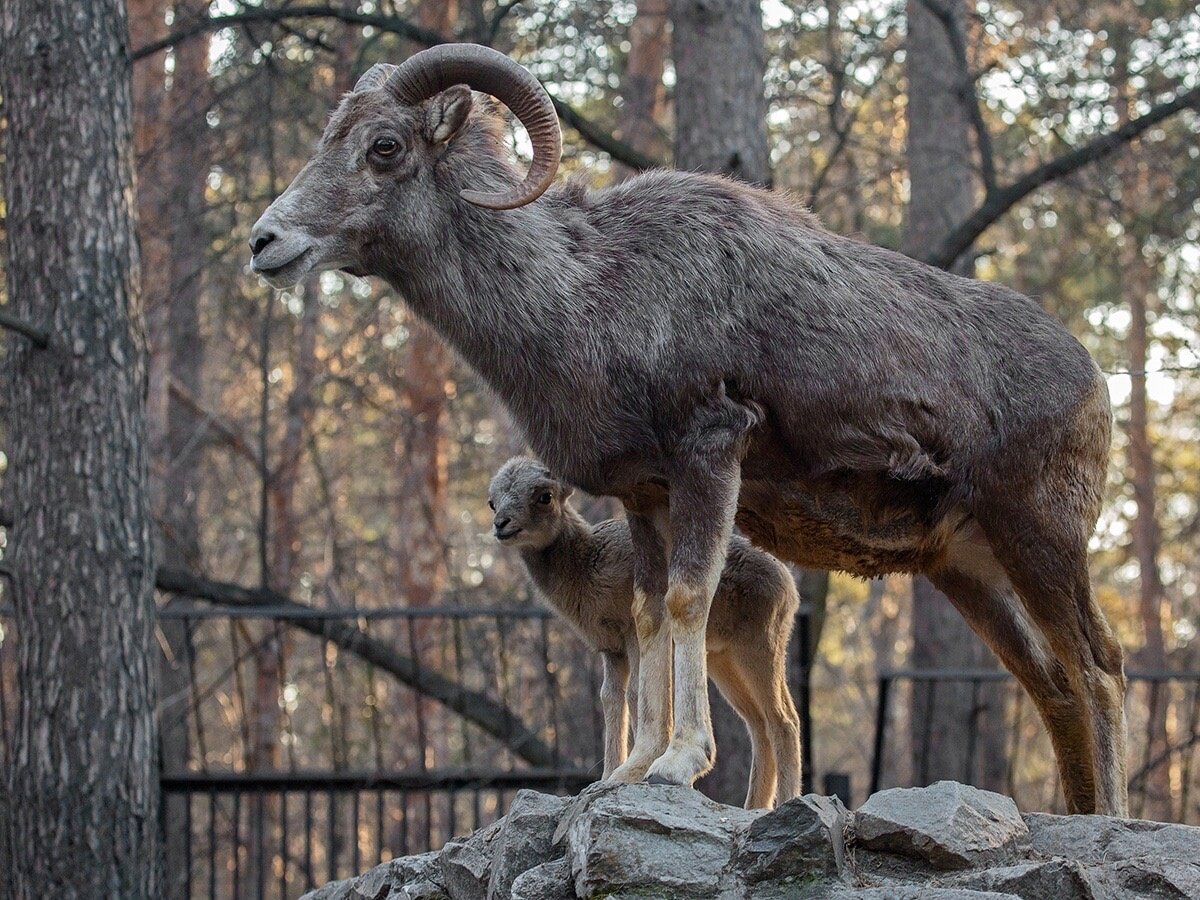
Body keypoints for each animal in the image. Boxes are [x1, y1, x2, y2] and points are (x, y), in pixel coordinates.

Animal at [487, 458, 796, 811]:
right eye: (492, 500)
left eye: (544, 496)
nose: (501, 524)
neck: (587, 564)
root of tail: (789, 586)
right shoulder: (610, 649)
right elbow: (610, 697)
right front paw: (606, 776)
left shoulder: (632, 636)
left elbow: (636, 692)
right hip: (723, 662)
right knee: (759, 724)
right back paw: (754, 806)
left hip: (759, 649)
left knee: (784, 721)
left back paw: (786, 800)